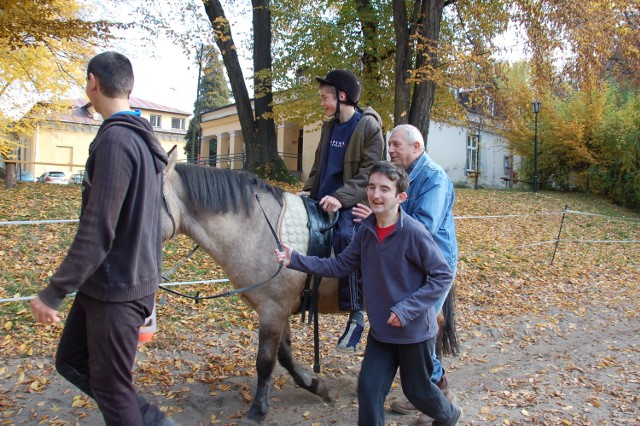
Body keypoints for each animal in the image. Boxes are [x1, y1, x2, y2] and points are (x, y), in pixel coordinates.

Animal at [161, 148, 460, 424]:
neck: (256, 230)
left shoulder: (273, 310)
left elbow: (265, 361)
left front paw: (257, 411)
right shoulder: (277, 310)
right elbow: (284, 355)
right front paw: (316, 386)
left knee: (433, 327)